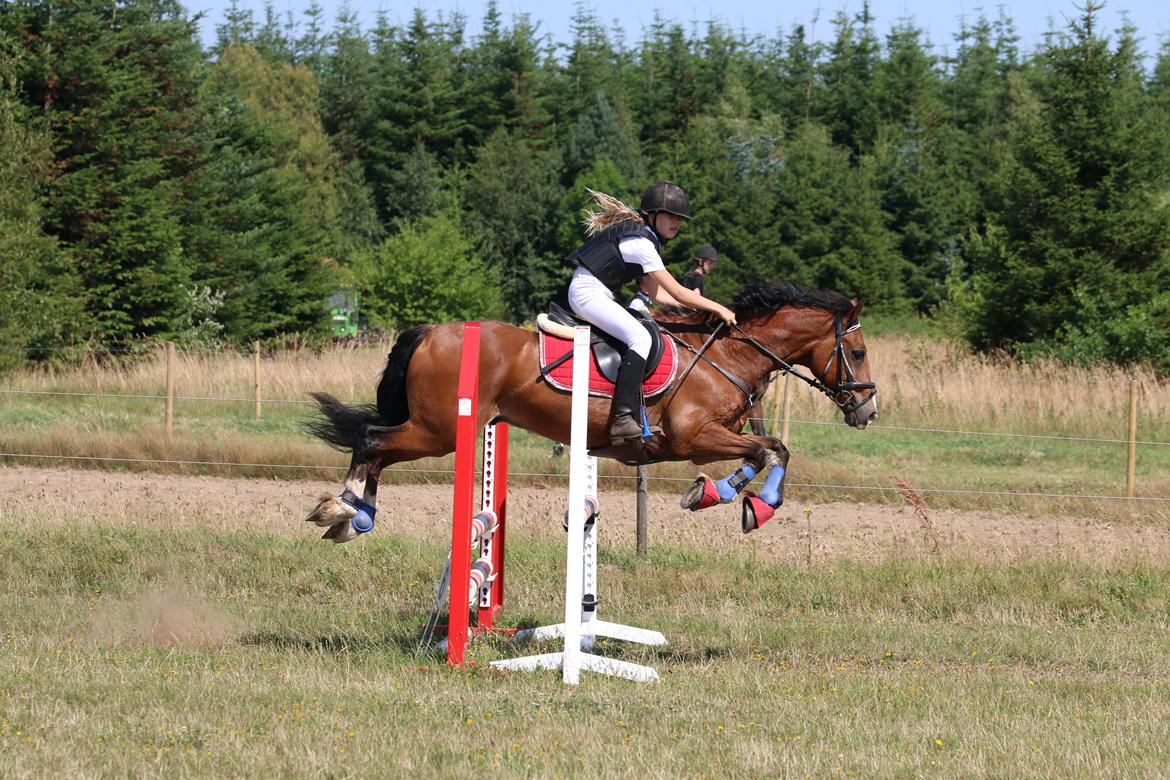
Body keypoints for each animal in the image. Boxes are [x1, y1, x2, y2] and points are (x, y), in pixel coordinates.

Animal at [306, 281, 875, 542]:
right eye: (860, 351)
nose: (866, 411)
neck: (726, 355)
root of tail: (429, 333)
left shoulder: (712, 437)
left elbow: (766, 451)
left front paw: (719, 495)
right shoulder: (693, 437)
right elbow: (772, 450)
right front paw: (749, 505)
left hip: (436, 428)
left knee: (376, 447)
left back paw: (355, 517)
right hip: (439, 430)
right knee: (372, 440)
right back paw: (343, 510)